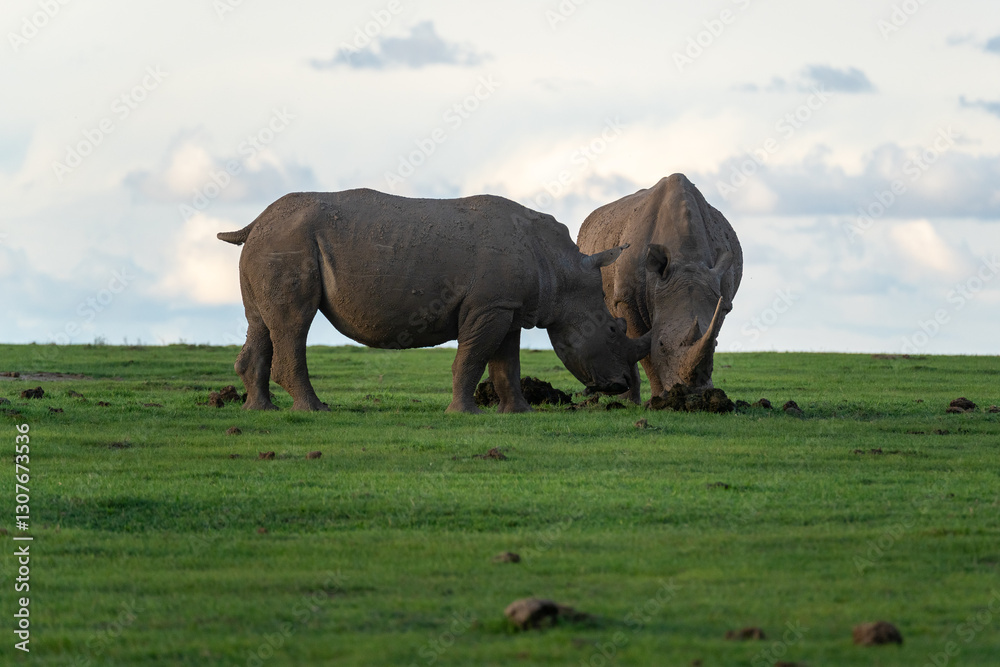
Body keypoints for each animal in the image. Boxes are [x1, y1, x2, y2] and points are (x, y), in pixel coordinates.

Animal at [217, 188, 650, 413]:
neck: (562, 271)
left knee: (262, 323)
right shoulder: (489, 306)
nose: (620, 385)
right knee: (294, 323)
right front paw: (465, 413)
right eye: (614, 329)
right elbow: (473, 357)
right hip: (288, 241)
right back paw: (315, 410)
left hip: (274, 241)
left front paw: (518, 413)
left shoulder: (506, 306)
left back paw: (261, 411)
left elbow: (506, 363)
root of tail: (255, 223)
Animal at [577, 174, 742, 403]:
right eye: (662, 345)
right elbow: (646, 352)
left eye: (717, 346)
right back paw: (618, 398)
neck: (687, 261)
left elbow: (710, 329)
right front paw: (659, 399)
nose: (694, 394)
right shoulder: (627, 299)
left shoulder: (722, 301)